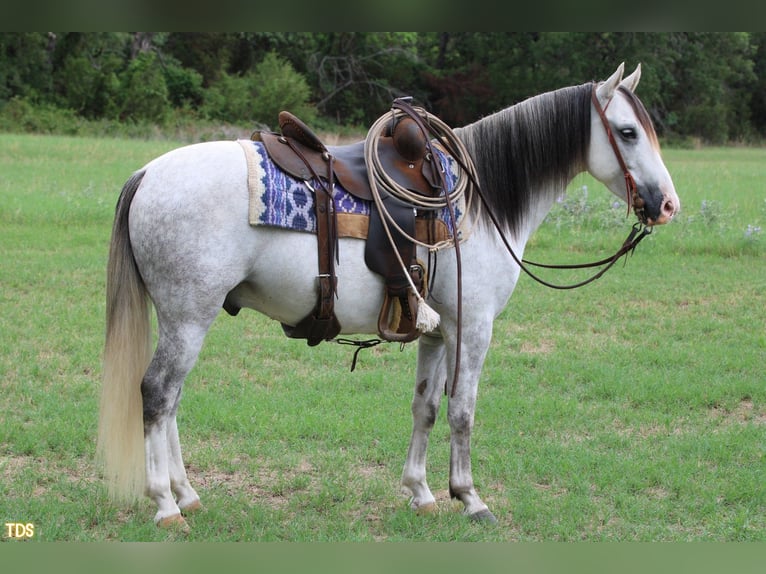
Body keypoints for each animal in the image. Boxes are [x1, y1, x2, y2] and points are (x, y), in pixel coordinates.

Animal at [99, 63, 680, 532]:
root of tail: (147, 173)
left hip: (185, 318)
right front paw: (470, 498)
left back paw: (187, 495)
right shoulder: (474, 326)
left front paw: (421, 493)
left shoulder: (439, 329)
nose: (667, 204)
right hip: (188, 317)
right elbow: (462, 410)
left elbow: (426, 406)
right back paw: (165, 506)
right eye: (627, 132)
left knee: (172, 400)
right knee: (157, 394)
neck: (477, 201)